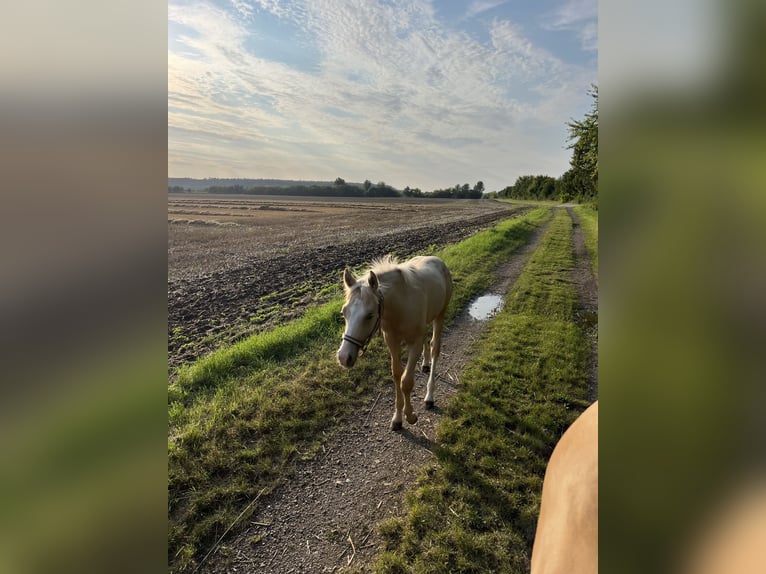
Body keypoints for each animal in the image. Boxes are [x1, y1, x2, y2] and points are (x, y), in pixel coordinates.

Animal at [340, 256, 452, 432]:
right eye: (344, 312)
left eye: (369, 315)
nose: (344, 357)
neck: (401, 304)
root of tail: (438, 261)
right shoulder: (392, 341)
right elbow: (397, 375)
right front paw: (398, 419)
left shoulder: (414, 343)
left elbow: (406, 381)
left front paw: (411, 416)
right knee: (427, 339)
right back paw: (425, 364)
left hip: (440, 314)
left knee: (435, 347)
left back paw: (429, 397)